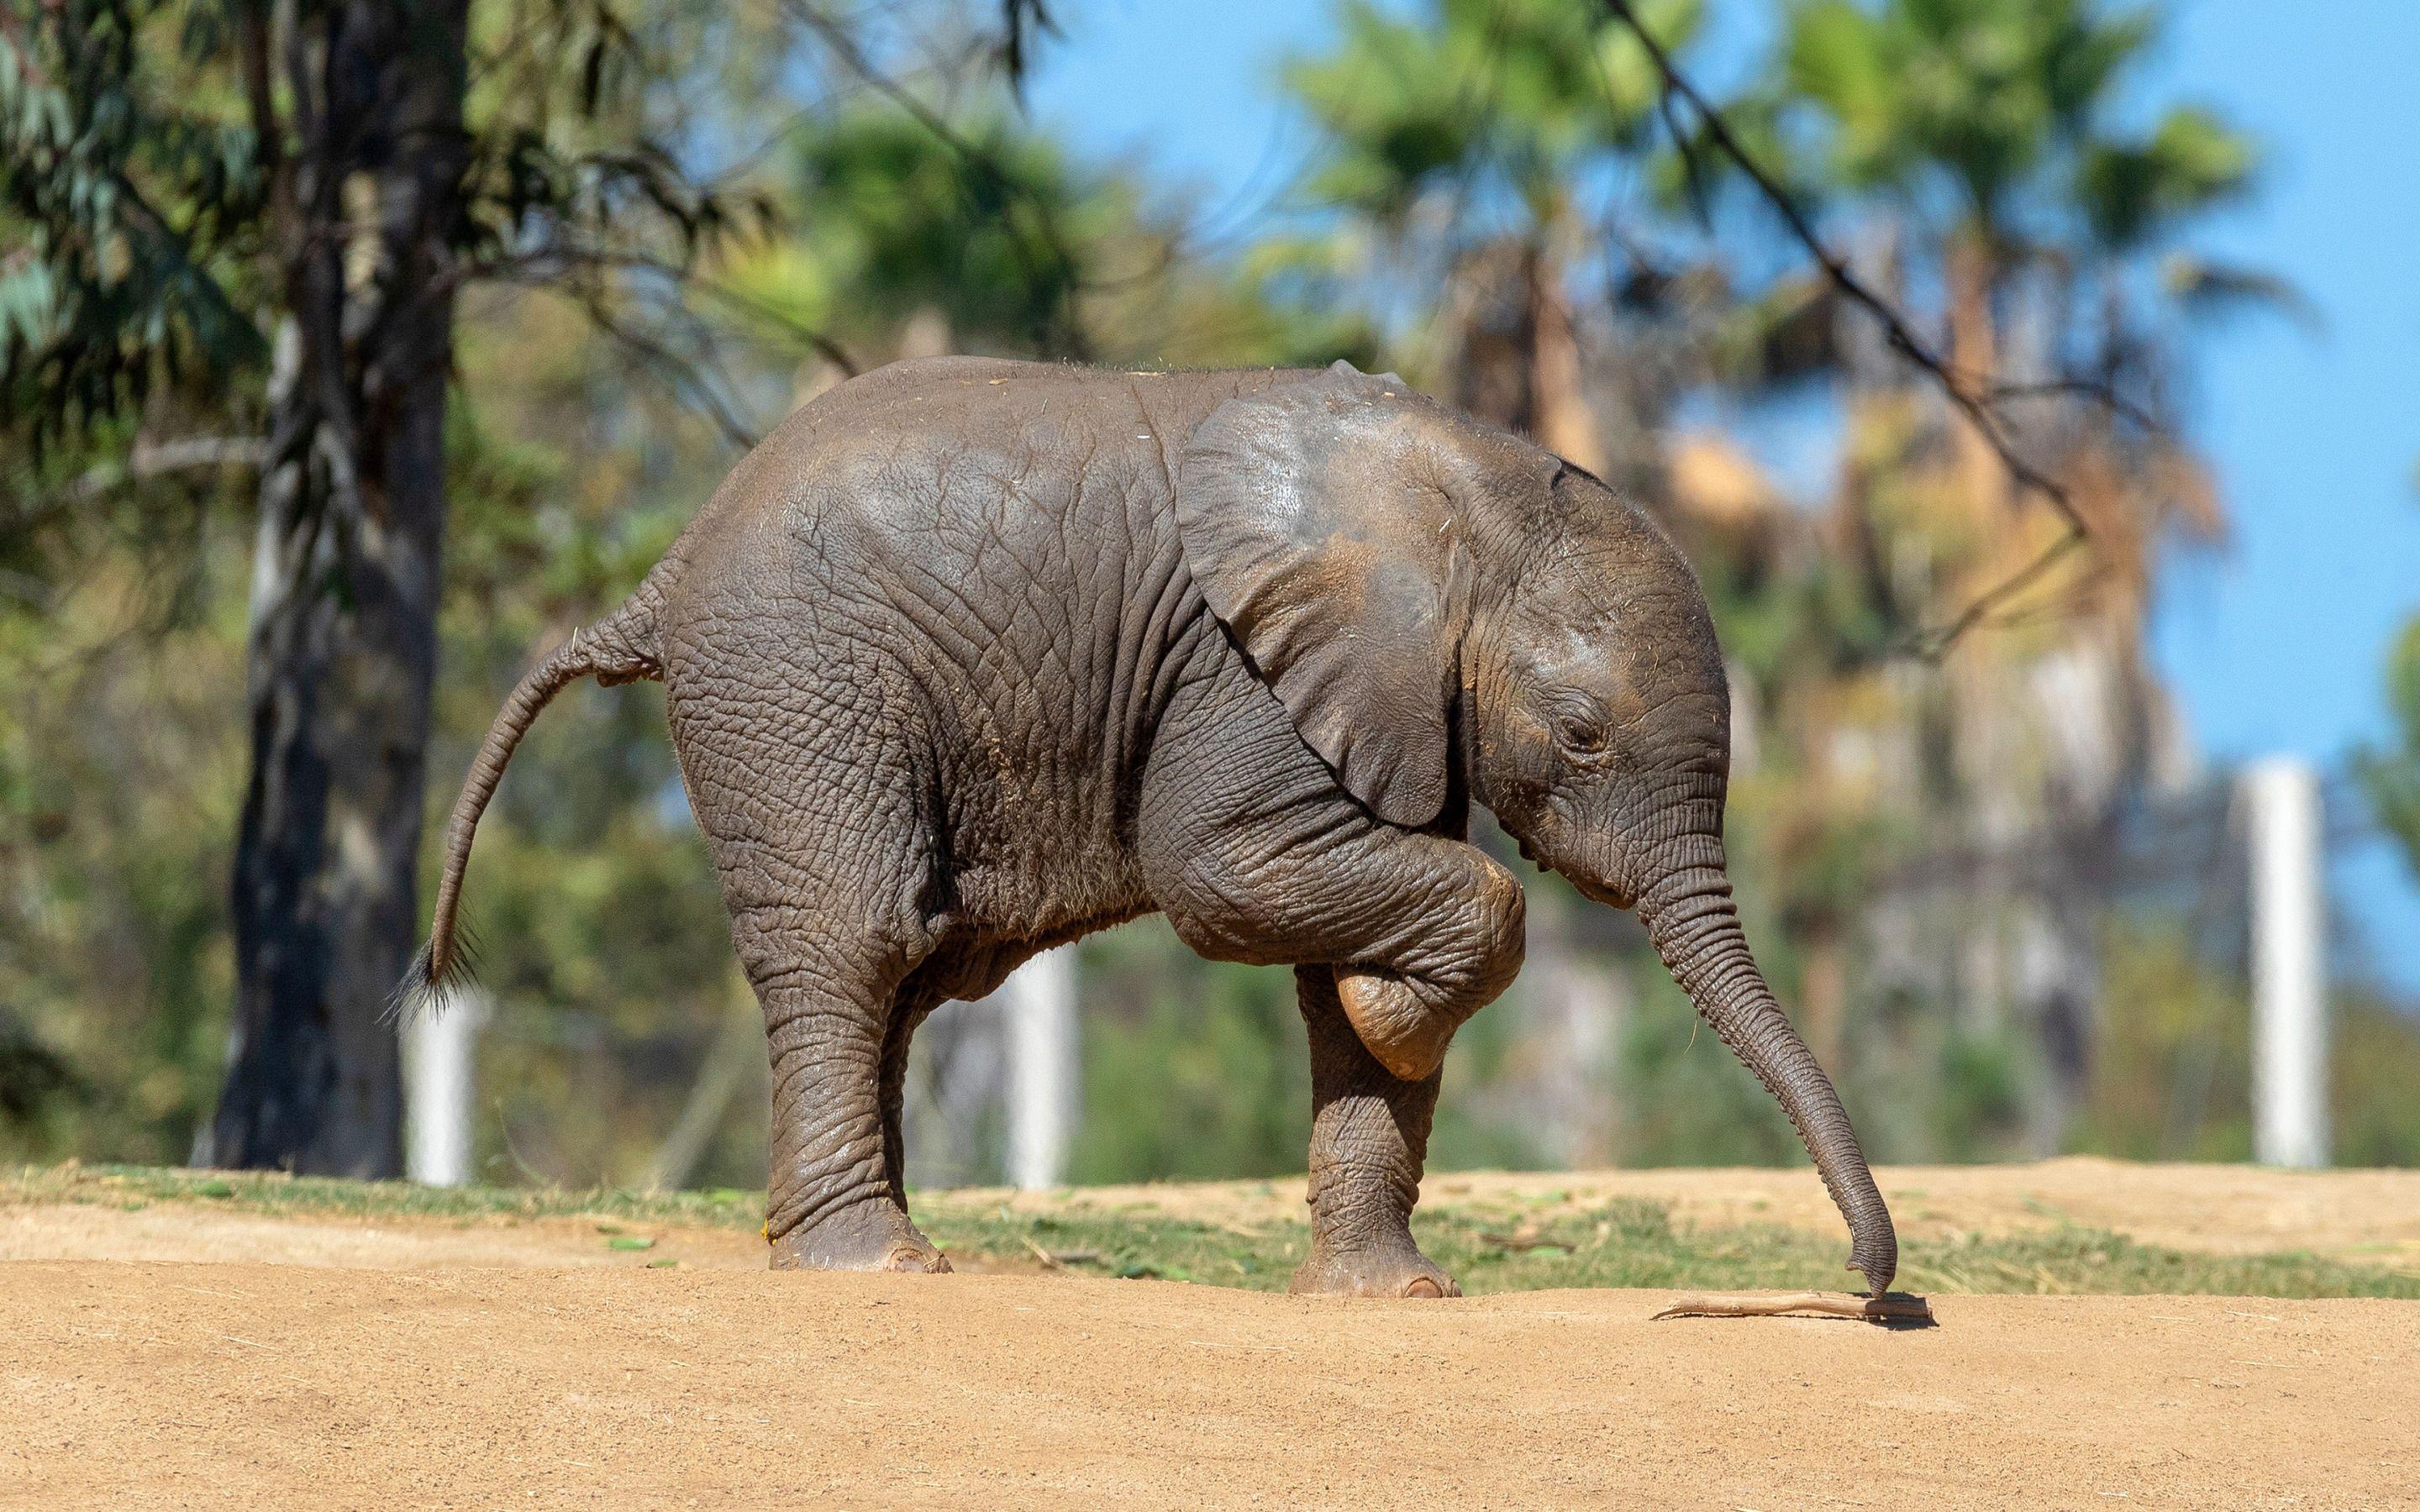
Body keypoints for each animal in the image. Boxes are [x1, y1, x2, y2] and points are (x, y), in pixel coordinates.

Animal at [409, 356, 1897, 1299]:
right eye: (1583, 734)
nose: (1871, 1288)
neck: (1465, 481)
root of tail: (662, 575)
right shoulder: (1242, 674)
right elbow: (1229, 878)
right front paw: (1402, 1012)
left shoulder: (1378, 701)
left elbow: (1324, 967)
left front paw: (1391, 1286)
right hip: (792, 687)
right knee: (855, 942)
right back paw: (874, 1265)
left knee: (908, 966)